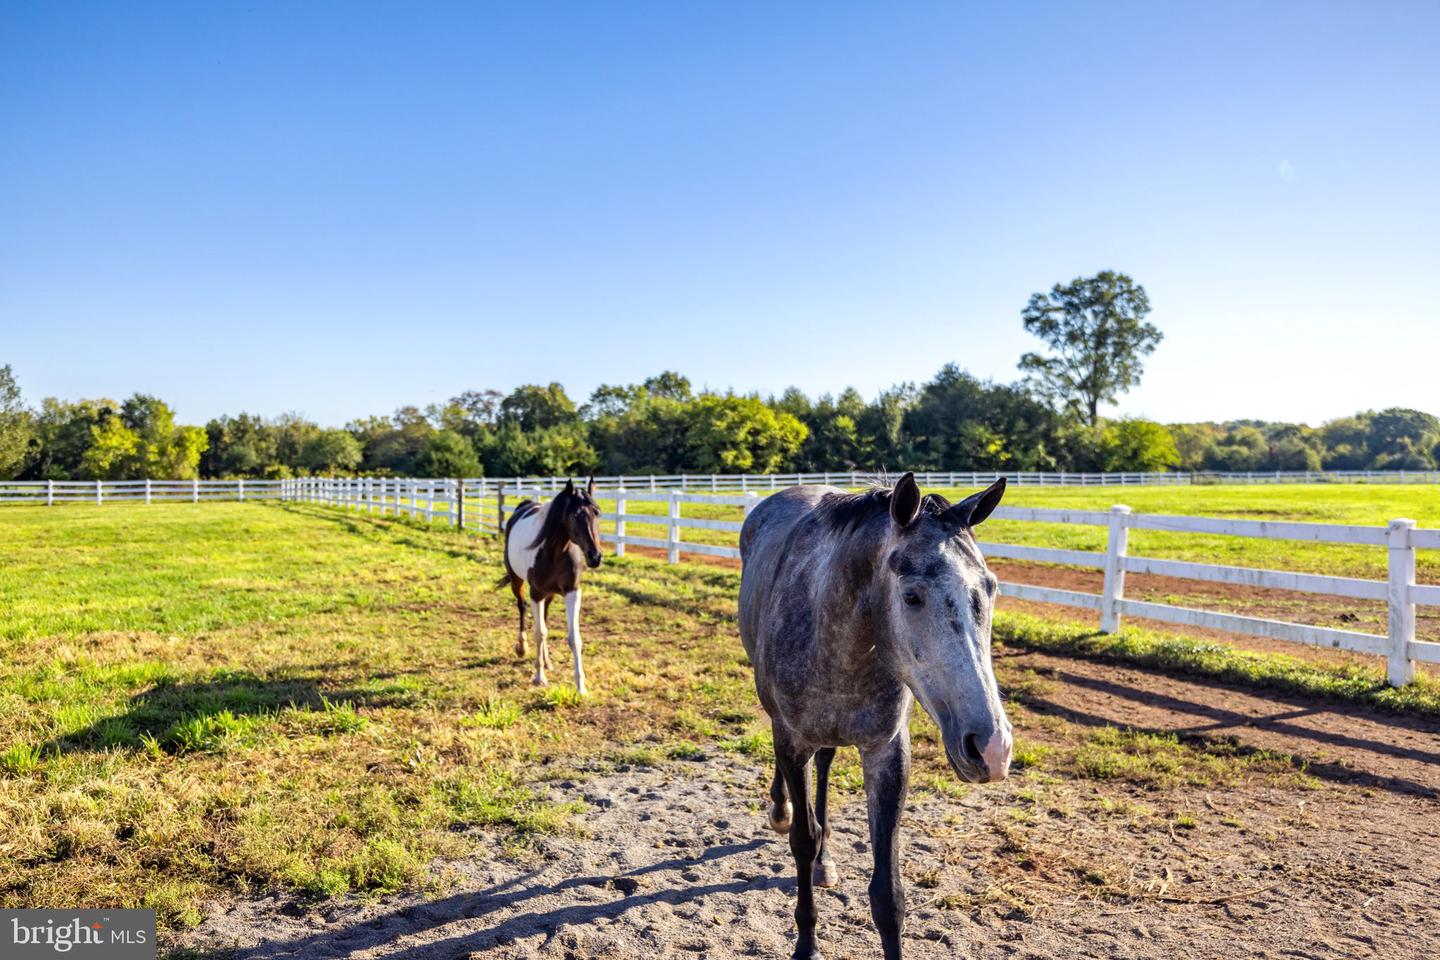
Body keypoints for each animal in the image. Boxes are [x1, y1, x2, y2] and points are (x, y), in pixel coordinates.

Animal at [498, 477, 604, 690]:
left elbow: (573, 637)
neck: (554, 552)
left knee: (544, 619)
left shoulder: (572, 592)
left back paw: (547, 660)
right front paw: (539, 677)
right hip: (517, 582)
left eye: (597, 512)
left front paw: (581, 686)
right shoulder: (536, 593)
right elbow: (539, 633)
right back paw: (522, 647)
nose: (595, 557)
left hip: (549, 594)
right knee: (521, 606)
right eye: (574, 515)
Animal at [743, 474, 1013, 960]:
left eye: (990, 588)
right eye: (911, 596)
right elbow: (802, 840)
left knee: (827, 765)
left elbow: (888, 893)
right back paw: (782, 811)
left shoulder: (887, 753)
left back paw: (825, 859)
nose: (992, 748)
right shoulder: (792, 741)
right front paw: (806, 945)